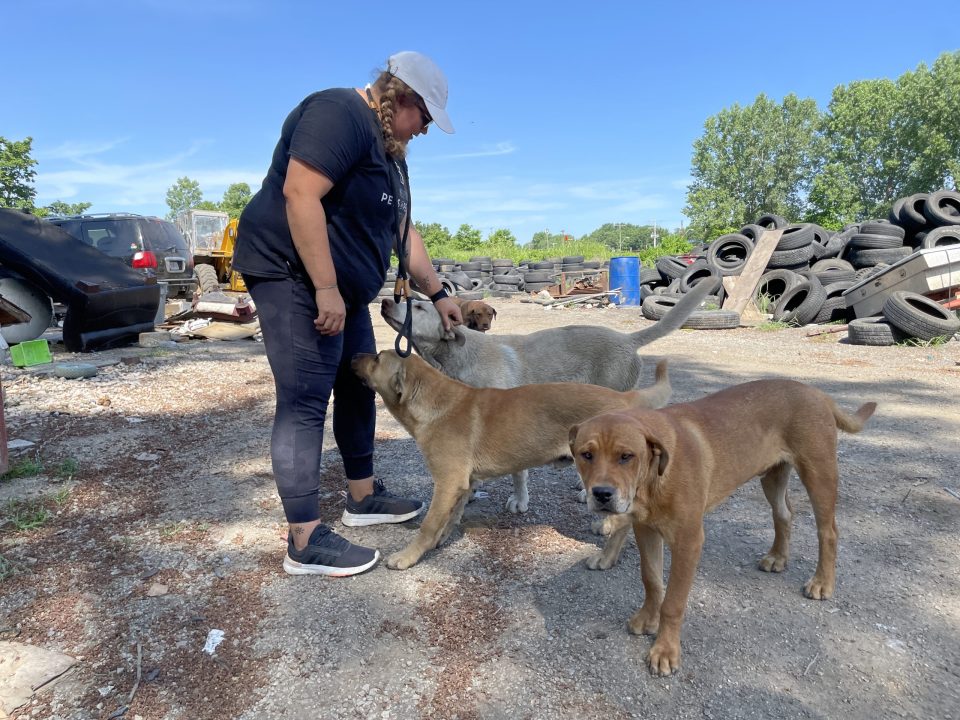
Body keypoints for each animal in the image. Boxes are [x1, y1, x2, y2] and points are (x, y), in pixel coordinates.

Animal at [348, 352, 672, 572]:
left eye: (377, 358)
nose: (352, 355)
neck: (437, 402)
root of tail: (626, 399)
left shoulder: (447, 482)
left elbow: (428, 525)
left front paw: (408, 556)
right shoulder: (462, 484)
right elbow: (451, 517)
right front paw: (443, 536)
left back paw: (606, 556)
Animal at [568, 380, 876, 676]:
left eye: (626, 456)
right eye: (586, 454)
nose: (602, 494)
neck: (653, 478)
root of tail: (816, 392)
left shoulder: (688, 541)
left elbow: (673, 602)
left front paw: (665, 650)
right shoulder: (646, 531)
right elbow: (652, 580)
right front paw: (647, 619)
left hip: (819, 474)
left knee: (828, 531)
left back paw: (821, 582)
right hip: (773, 475)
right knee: (784, 514)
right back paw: (778, 557)